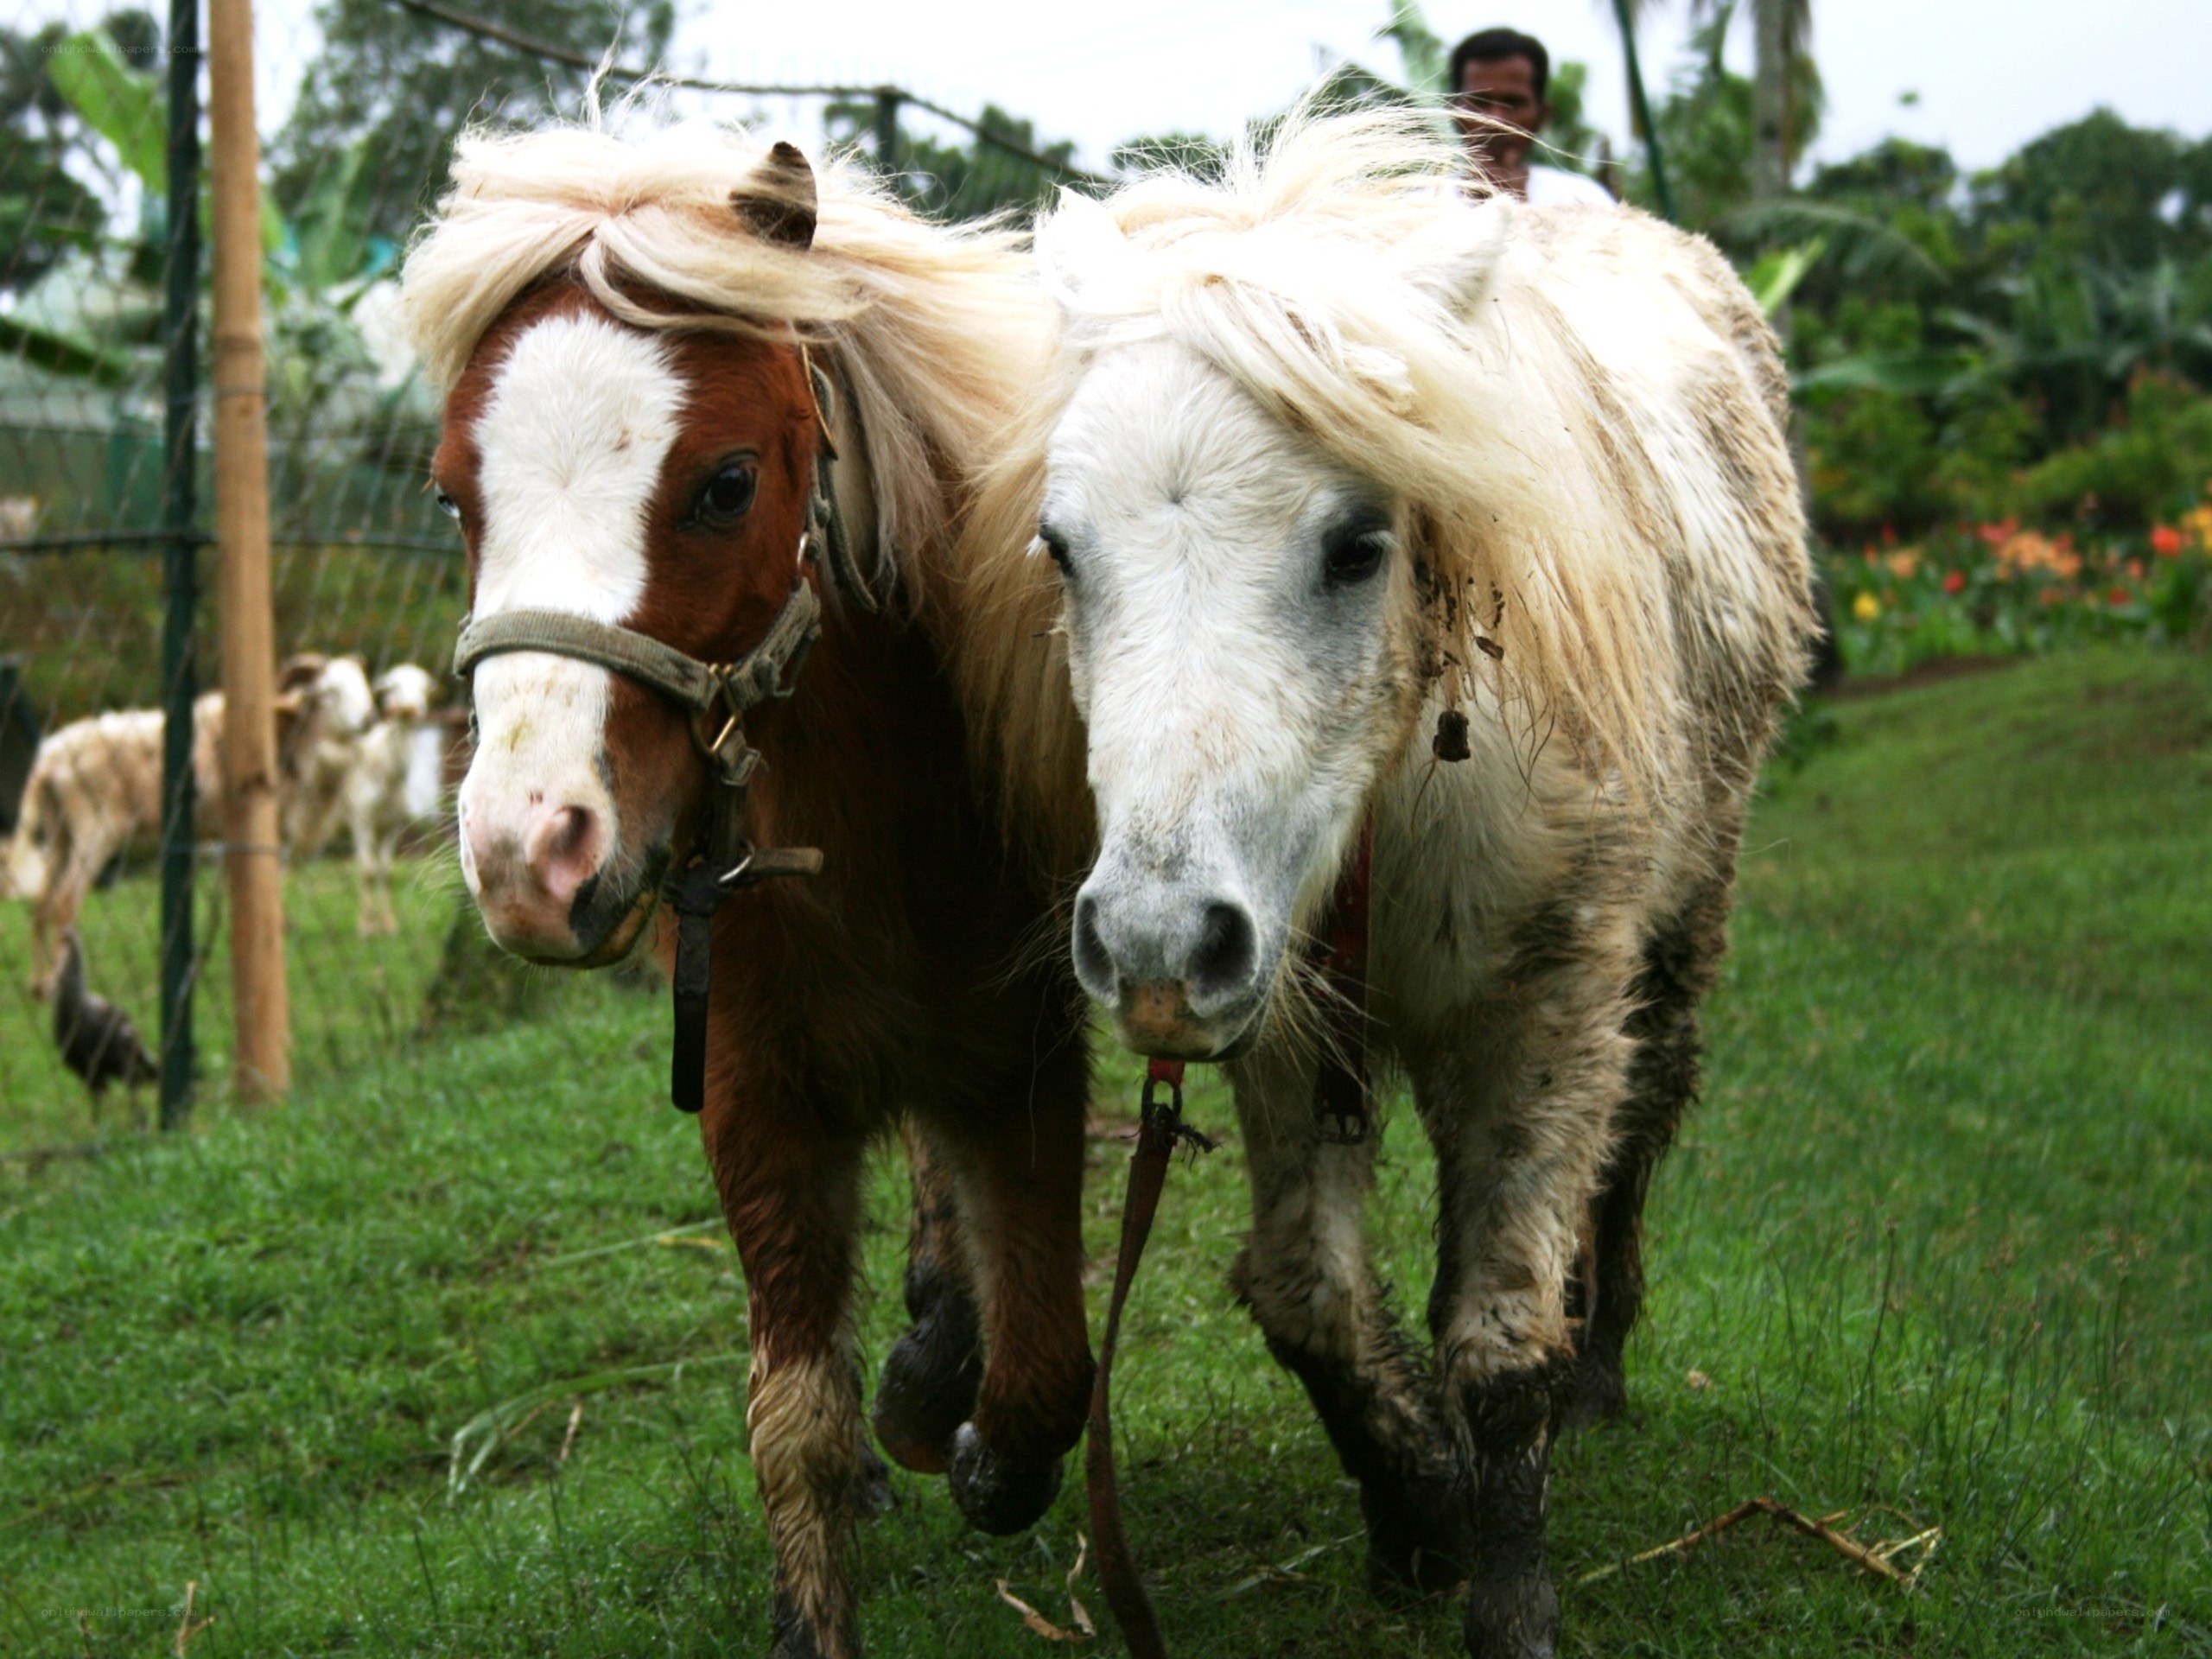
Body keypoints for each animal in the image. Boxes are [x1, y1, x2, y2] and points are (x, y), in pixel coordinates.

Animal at [398, 124, 1097, 1659]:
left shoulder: (1019, 1052)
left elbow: (1039, 1378)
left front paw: (955, 1412)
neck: (867, 833)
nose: (529, 856)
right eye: (453, 495)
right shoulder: (752, 1084)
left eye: (724, 483)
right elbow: (801, 1429)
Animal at [959, 108, 1819, 1657]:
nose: (1152, 942)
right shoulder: (1287, 1018)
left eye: (1359, 545)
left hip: (1678, 931)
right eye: (1061, 549)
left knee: (1640, 1127)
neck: (1398, 783)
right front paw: (1415, 1505)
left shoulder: (1544, 1007)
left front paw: (1507, 1580)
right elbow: (1308, 1295)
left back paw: (1602, 1372)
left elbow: (1500, 1336)